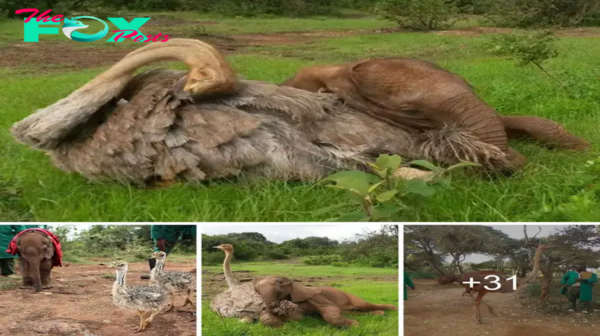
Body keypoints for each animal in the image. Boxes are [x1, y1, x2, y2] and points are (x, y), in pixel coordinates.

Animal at [253, 276, 398, 326]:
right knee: (351, 311)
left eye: (280, 283)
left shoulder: (314, 296)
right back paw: (379, 314)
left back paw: (391, 309)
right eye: (256, 290)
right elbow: (297, 317)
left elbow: (329, 309)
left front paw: (355, 324)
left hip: (350, 296)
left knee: (363, 304)